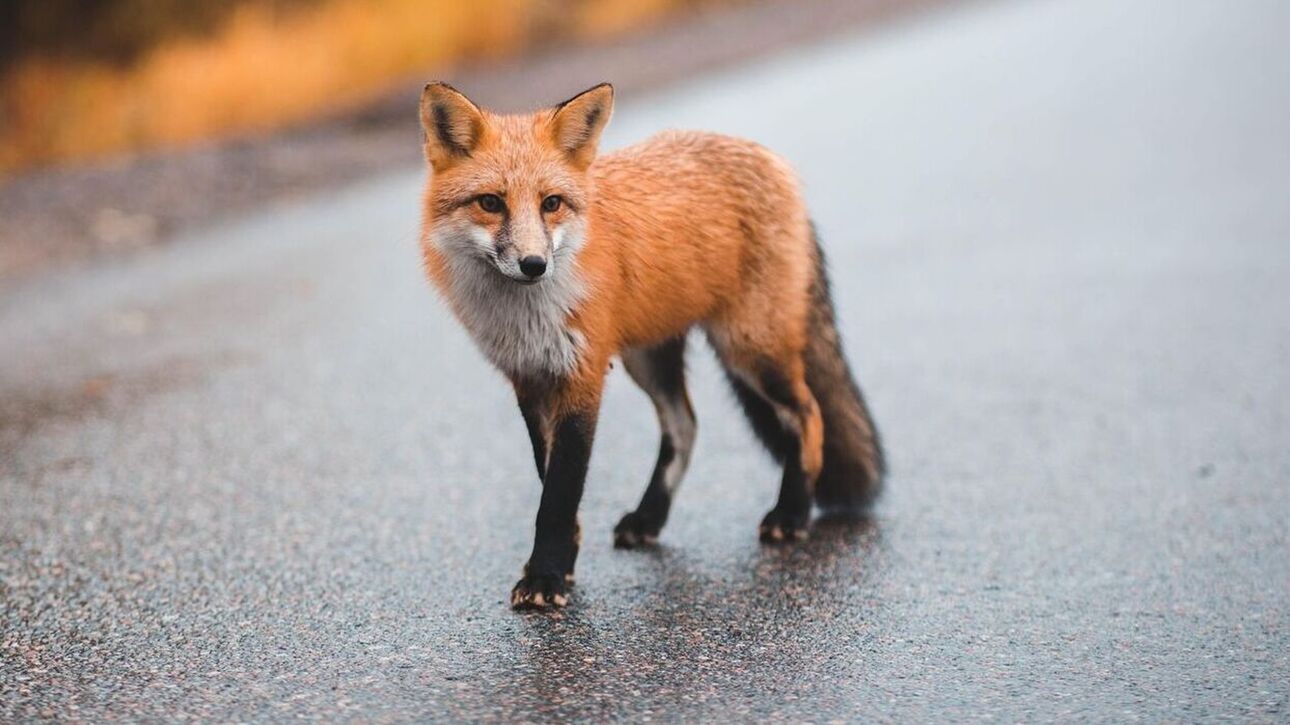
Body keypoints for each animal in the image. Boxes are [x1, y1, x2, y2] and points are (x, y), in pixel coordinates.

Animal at [417, 81, 882, 606]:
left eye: (551, 203)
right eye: (491, 203)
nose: (534, 265)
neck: (526, 316)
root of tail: (771, 158)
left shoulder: (583, 375)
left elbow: (559, 492)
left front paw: (546, 576)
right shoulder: (530, 378)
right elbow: (549, 480)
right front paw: (563, 562)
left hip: (749, 349)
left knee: (808, 414)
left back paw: (792, 513)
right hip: (649, 358)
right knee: (686, 425)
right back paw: (649, 518)